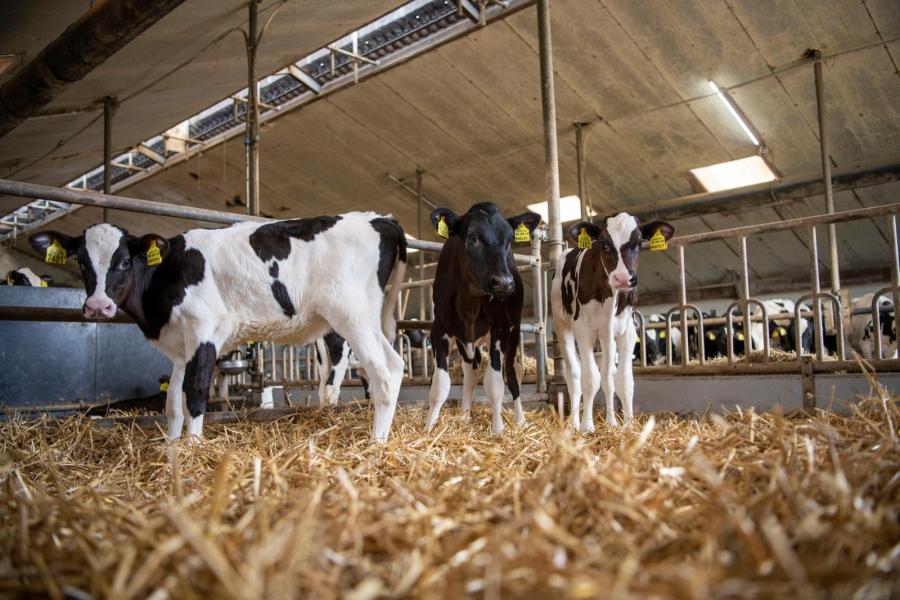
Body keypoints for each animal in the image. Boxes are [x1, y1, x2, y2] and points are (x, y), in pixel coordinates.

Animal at [29, 213, 406, 442]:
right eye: (82, 262)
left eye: (123, 261)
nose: (97, 306)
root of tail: (378, 218)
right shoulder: (180, 346)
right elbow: (173, 403)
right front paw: (172, 444)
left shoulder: (204, 331)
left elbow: (196, 394)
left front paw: (194, 447)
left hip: (351, 314)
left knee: (385, 368)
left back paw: (376, 442)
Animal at [424, 204, 540, 434]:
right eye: (472, 237)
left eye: (509, 239)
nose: (504, 282)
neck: (469, 302)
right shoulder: (439, 329)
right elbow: (440, 384)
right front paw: (429, 427)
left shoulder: (500, 328)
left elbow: (494, 383)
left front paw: (498, 429)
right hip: (466, 341)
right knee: (470, 372)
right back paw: (464, 416)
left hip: (514, 331)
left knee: (512, 373)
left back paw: (520, 420)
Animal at [548, 214, 676, 432]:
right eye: (604, 243)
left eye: (639, 243)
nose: (623, 278)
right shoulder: (583, 331)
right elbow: (590, 378)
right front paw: (587, 426)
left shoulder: (627, 332)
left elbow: (622, 380)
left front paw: (624, 424)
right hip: (562, 324)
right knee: (574, 375)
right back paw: (573, 423)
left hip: (607, 337)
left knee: (609, 374)